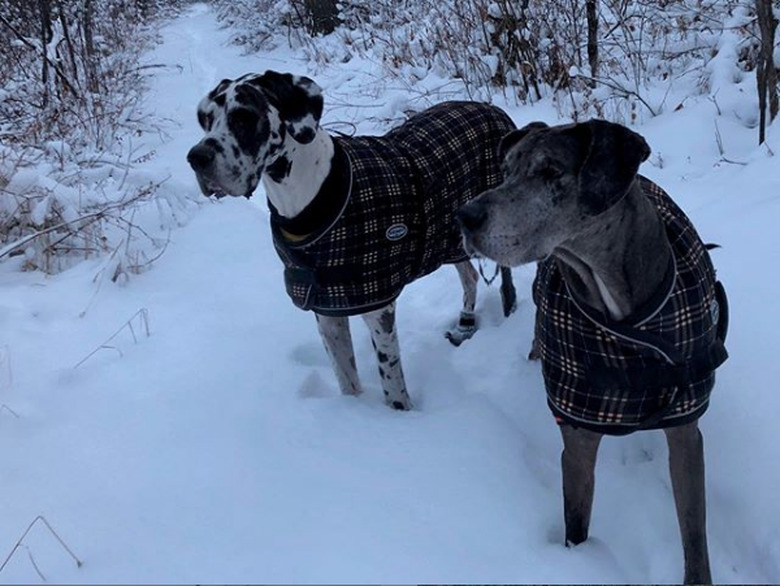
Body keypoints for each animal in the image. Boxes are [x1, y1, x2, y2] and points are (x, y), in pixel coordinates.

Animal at [187, 70, 516, 408]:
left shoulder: (378, 310)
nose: (196, 157)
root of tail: (492, 109)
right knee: (470, 276)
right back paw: (465, 325)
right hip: (447, 240)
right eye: (206, 119)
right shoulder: (326, 310)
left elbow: (393, 386)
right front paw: (352, 412)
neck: (307, 199)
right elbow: (346, 379)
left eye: (244, 116)